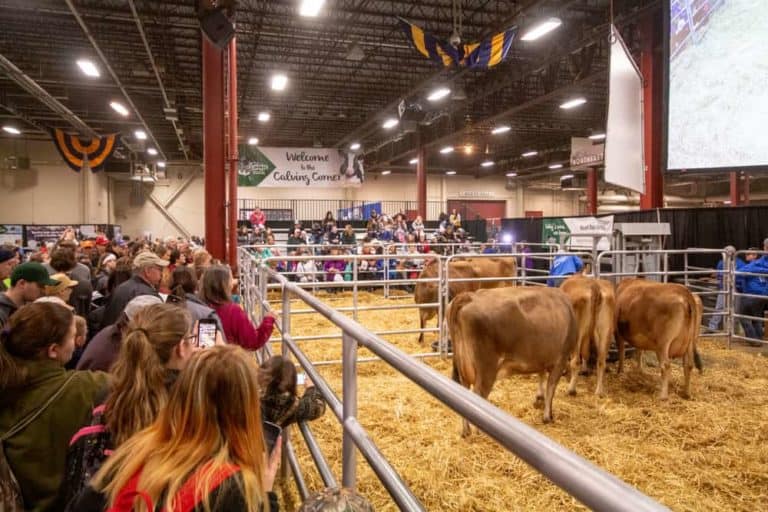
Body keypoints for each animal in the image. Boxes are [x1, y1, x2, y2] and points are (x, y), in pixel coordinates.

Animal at [450, 288, 576, 432]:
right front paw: (547, 416)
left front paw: (539, 400)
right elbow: (551, 388)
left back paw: (466, 431)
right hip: (486, 371)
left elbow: (542, 376)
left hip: (463, 368)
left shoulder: (542, 359)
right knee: (477, 397)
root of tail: (469, 296)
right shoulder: (561, 359)